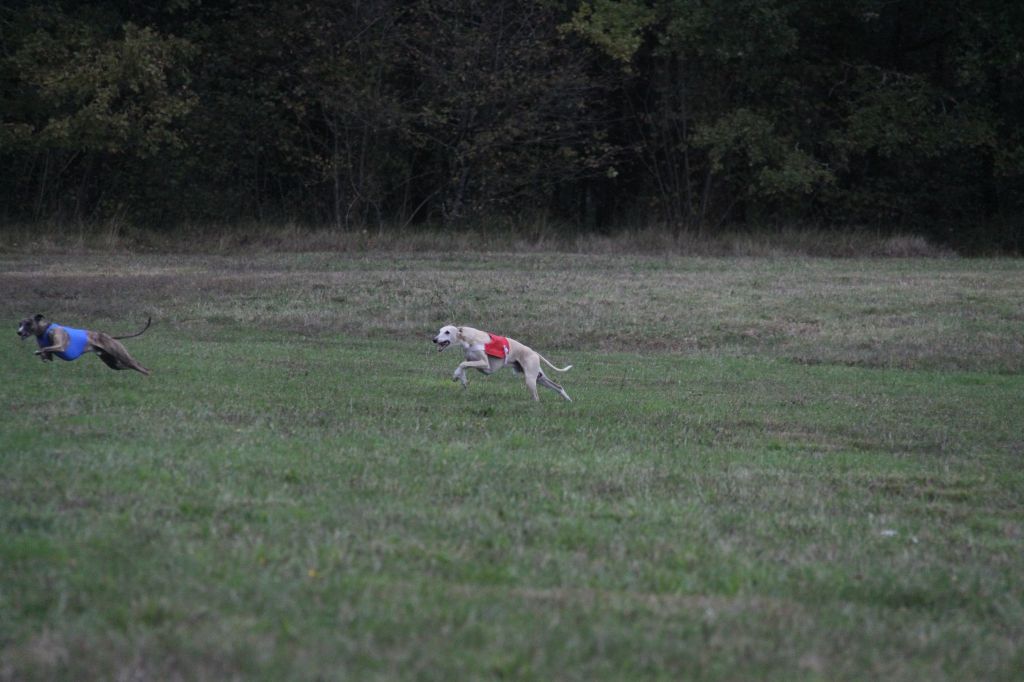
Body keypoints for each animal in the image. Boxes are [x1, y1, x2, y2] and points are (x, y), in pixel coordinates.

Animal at [17, 311, 151, 374]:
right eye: (20, 324)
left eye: (28, 323)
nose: (18, 332)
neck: (45, 329)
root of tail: (109, 337)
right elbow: (45, 353)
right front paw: (42, 356)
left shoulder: (60, 345)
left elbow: (44, 348)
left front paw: (39, 352)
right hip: (114, 363)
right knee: (133, 367)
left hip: (121, 355)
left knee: (141, 367)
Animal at [432, 323, 573, 399]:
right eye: (439, 331)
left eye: (447, 332)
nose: (434, 339)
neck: (468, 338)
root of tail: (534, 352)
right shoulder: (472, 360)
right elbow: (464, 366)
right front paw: (462, 379)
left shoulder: (485, 365)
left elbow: (462, 364)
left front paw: (457, 375)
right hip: (539, 377)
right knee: (558, 386)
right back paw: (568, 400)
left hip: (530, 379)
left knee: (536, 397)